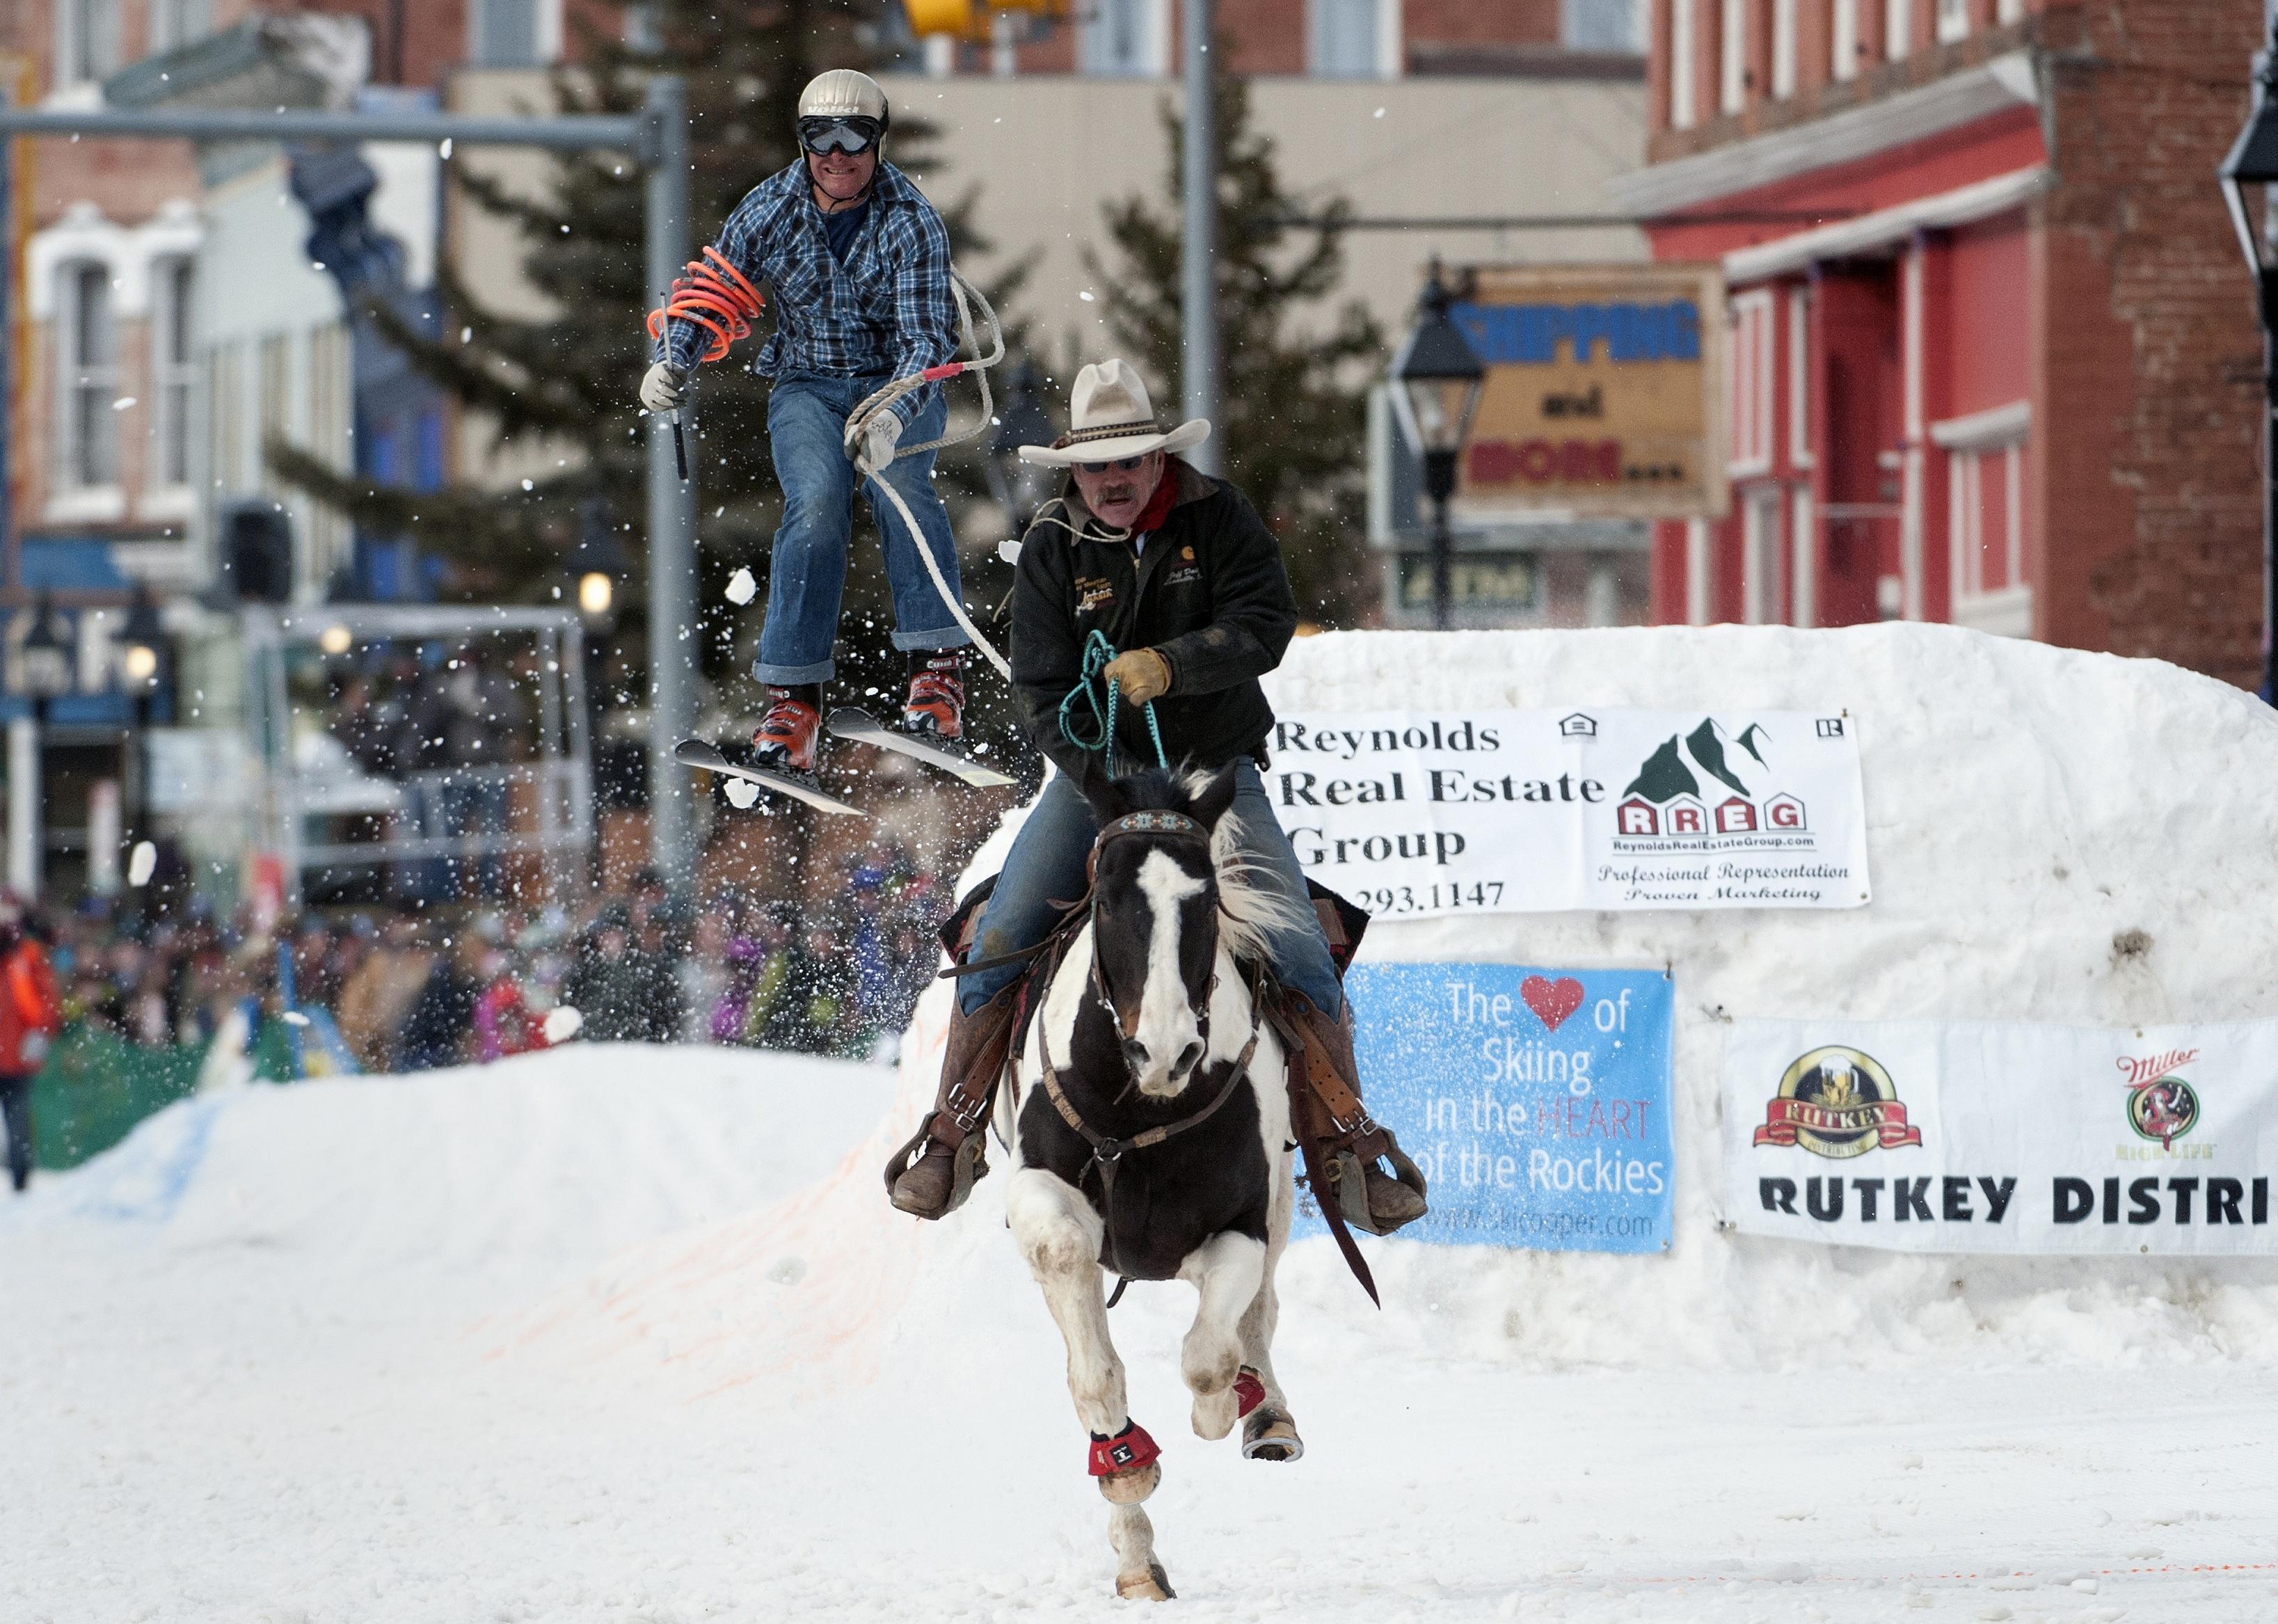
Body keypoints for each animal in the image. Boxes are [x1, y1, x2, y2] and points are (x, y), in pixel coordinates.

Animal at [993, 765, 1303, 1603]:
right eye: (1106, 898)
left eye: (1203, 902)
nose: (1165, 1051)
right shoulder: (1040, 1200)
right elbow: (1091, 1358)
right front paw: (1127, 1466)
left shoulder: (1240, 1224)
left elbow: (1211, 1356)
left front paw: (1223, 1412)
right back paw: (1138, 1559)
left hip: (1281, 1206)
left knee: (1259, 1315)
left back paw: (1267, 1417)